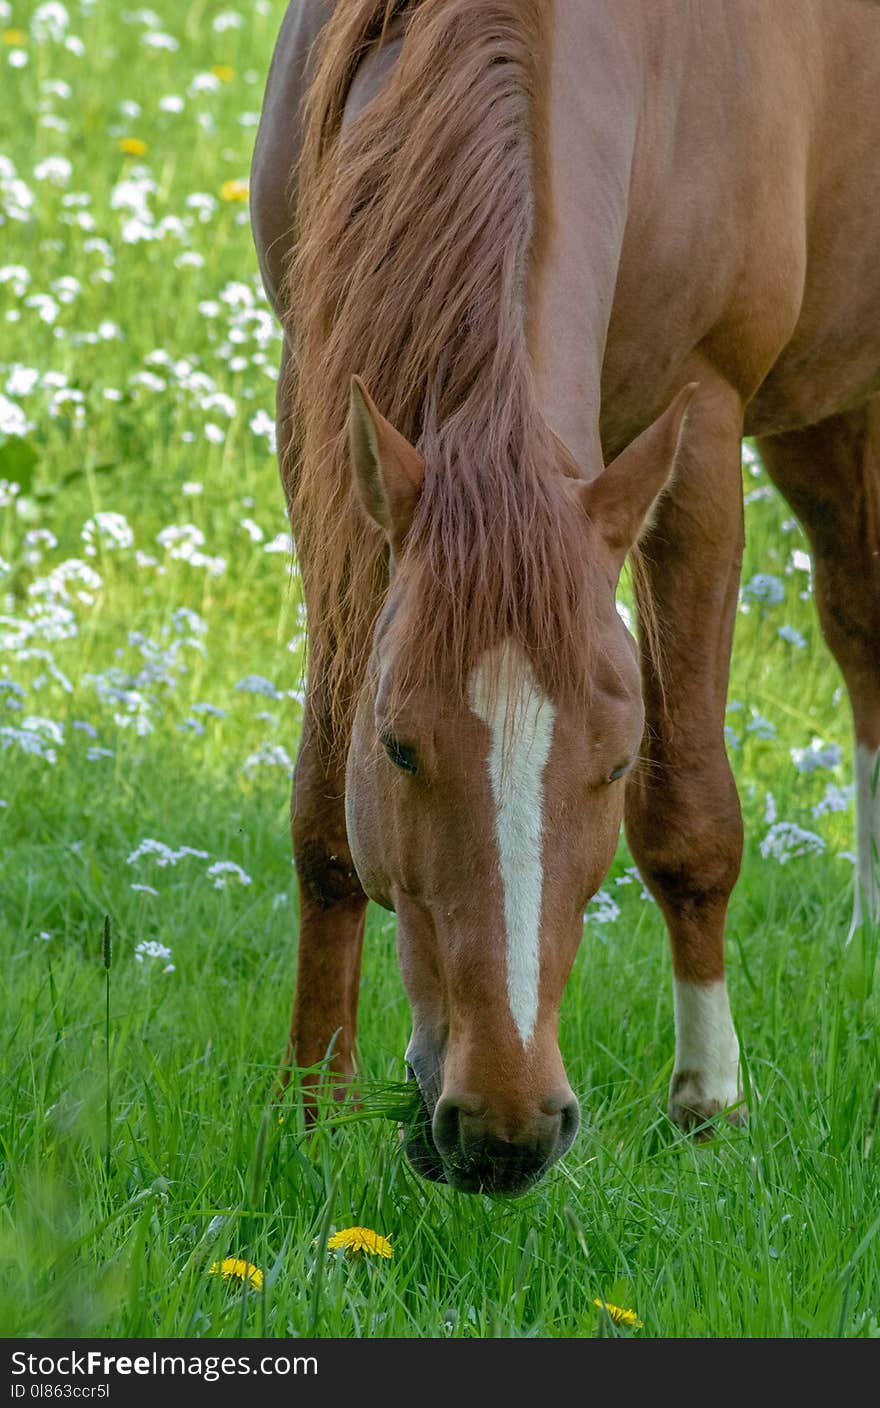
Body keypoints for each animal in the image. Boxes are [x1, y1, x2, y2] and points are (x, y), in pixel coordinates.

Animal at [252, 0, 878, 1193]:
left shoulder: (699, 428)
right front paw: (311, 1110)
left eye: (616, 761)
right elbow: (321, 809)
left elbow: (691, 815)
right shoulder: (316, 410)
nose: (507, 1128)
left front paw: (708, 1103)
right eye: (398, 747)